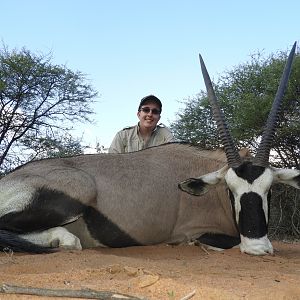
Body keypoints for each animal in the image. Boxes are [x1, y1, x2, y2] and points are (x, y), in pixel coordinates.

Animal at [0, 43, 298, 256]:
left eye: (269, 190)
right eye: (231, 190)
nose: (258, 248)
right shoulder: (193, 231)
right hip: (74, 194)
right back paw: (62, 238)